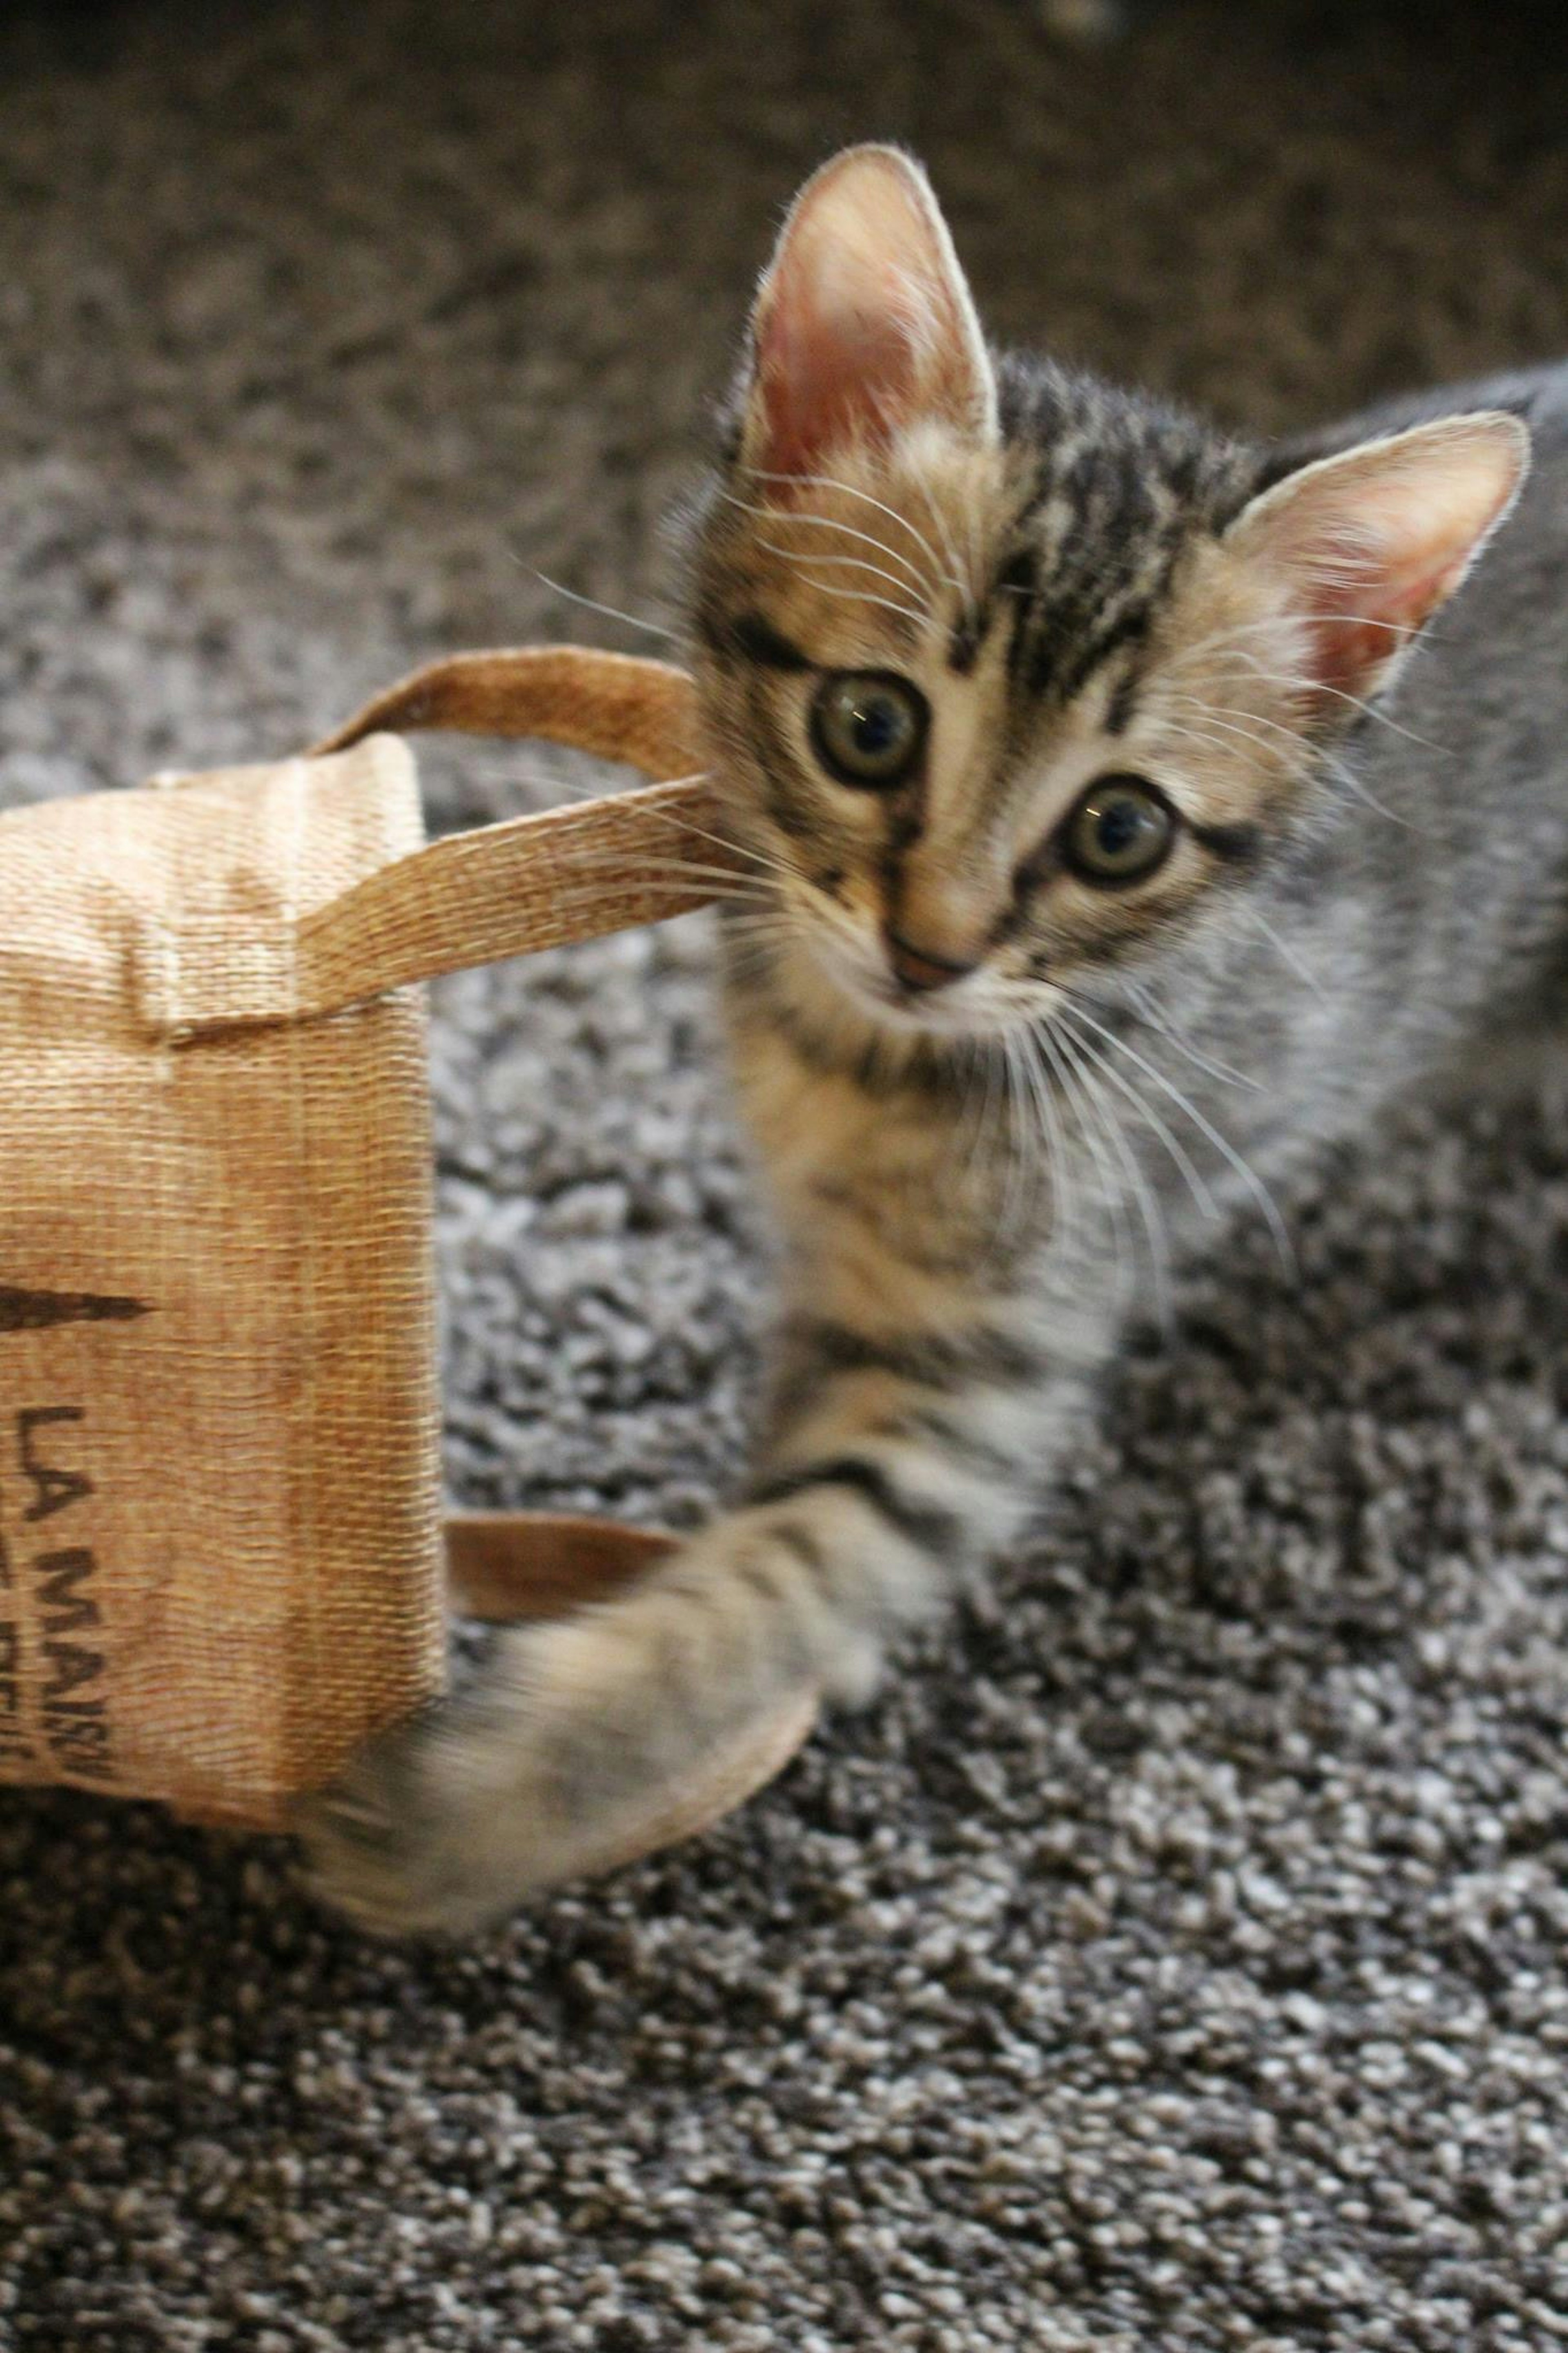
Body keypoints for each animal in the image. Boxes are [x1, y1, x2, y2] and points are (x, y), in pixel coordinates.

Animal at [312, 142, 1561, 1929]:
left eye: (1121, 832)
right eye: (869, 725)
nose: (932, 947)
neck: (856, 1061)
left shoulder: (981, 1361)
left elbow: (787, 1570)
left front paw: (483, 1804)